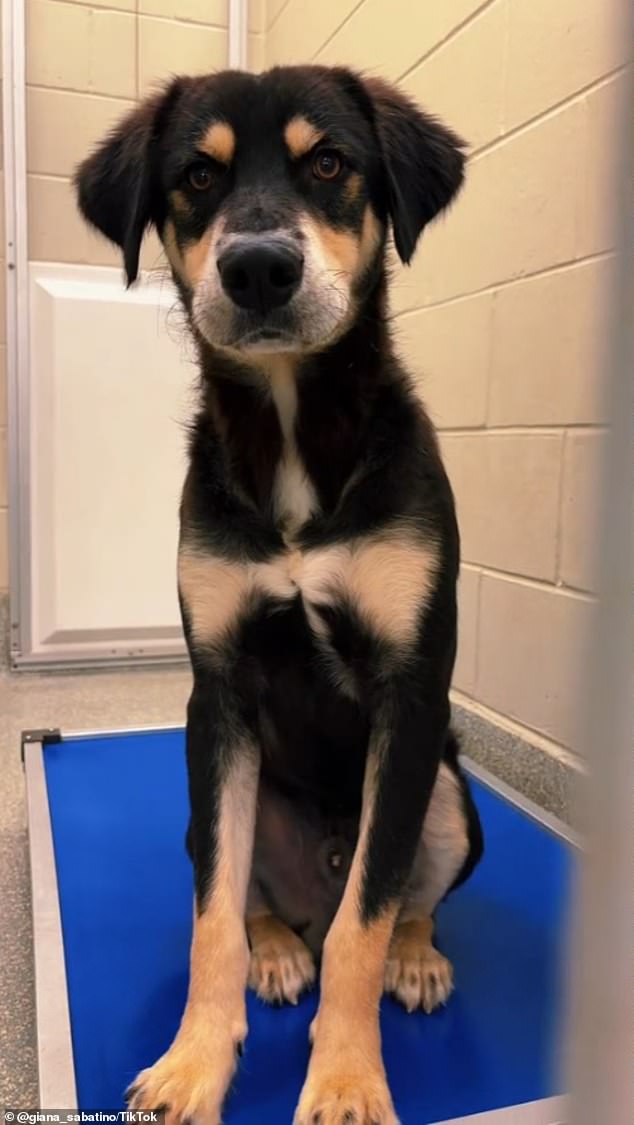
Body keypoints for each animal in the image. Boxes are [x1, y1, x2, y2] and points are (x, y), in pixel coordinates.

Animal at [78, 68, 485, 1125]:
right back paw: (274, 949)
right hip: (219, 803)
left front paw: (345, 1078)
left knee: (397, 898)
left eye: (330, 163)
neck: (295, 426)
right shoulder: (217, 695)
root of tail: (316, 879)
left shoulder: (409, 694)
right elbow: (211, 916)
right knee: (256, 899)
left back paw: (418, 957)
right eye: (196, 175)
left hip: (449, 796)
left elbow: (365, 922)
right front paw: (192, 1063)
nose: (259, 268)